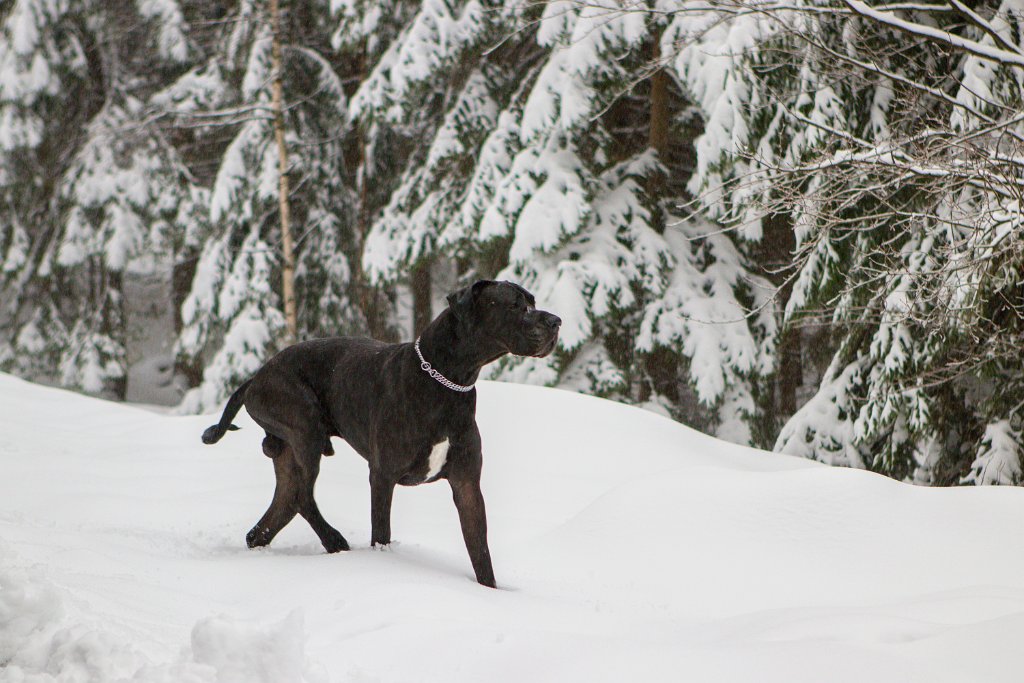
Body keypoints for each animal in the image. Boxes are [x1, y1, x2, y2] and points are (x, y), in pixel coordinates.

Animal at [199, 278, 561, 589]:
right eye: (514, 305)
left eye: (532, 302)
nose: (556, 321)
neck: (446, 382)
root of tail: (256, 376)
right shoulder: (383, 475)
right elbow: (382, 532)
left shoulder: (467, 484)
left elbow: (480, 552)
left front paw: (491, 593)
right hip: (304, 428)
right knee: (302, 495)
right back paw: (334, 540)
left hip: (290, 448)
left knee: (280, 508)